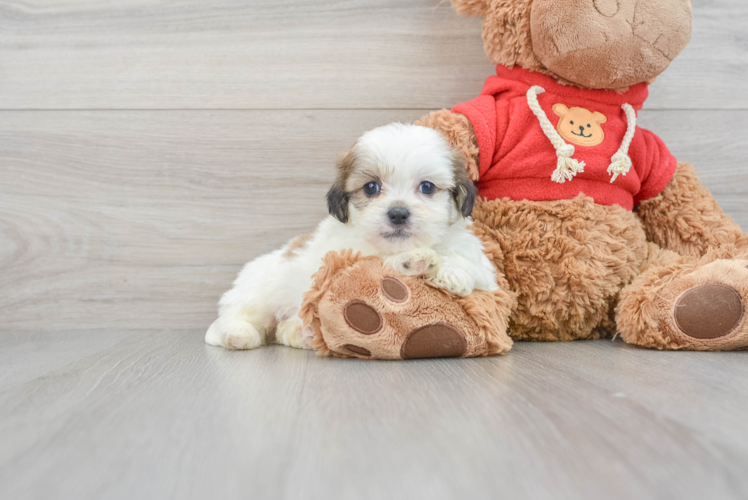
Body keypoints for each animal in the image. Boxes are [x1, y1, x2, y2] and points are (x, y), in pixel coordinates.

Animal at [206, 122, 496, 350]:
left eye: (427, 187)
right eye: (371, 188)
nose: (398, 213)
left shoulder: (483, 269)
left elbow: (469, 259)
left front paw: (452, 271)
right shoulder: (347, 256)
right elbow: (378, 264)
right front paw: (413, 261)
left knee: (280, 329)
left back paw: (301, 333)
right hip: (257, 293)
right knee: (232, 320)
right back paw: (236, 334)